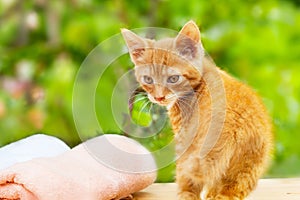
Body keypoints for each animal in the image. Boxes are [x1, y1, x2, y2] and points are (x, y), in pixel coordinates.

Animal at [120, 20, 274, 200]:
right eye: (148, 79)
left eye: (173, 78)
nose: (159, 97)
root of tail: (234, 128)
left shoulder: (183, 134)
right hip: (248, 167)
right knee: (231, 190)